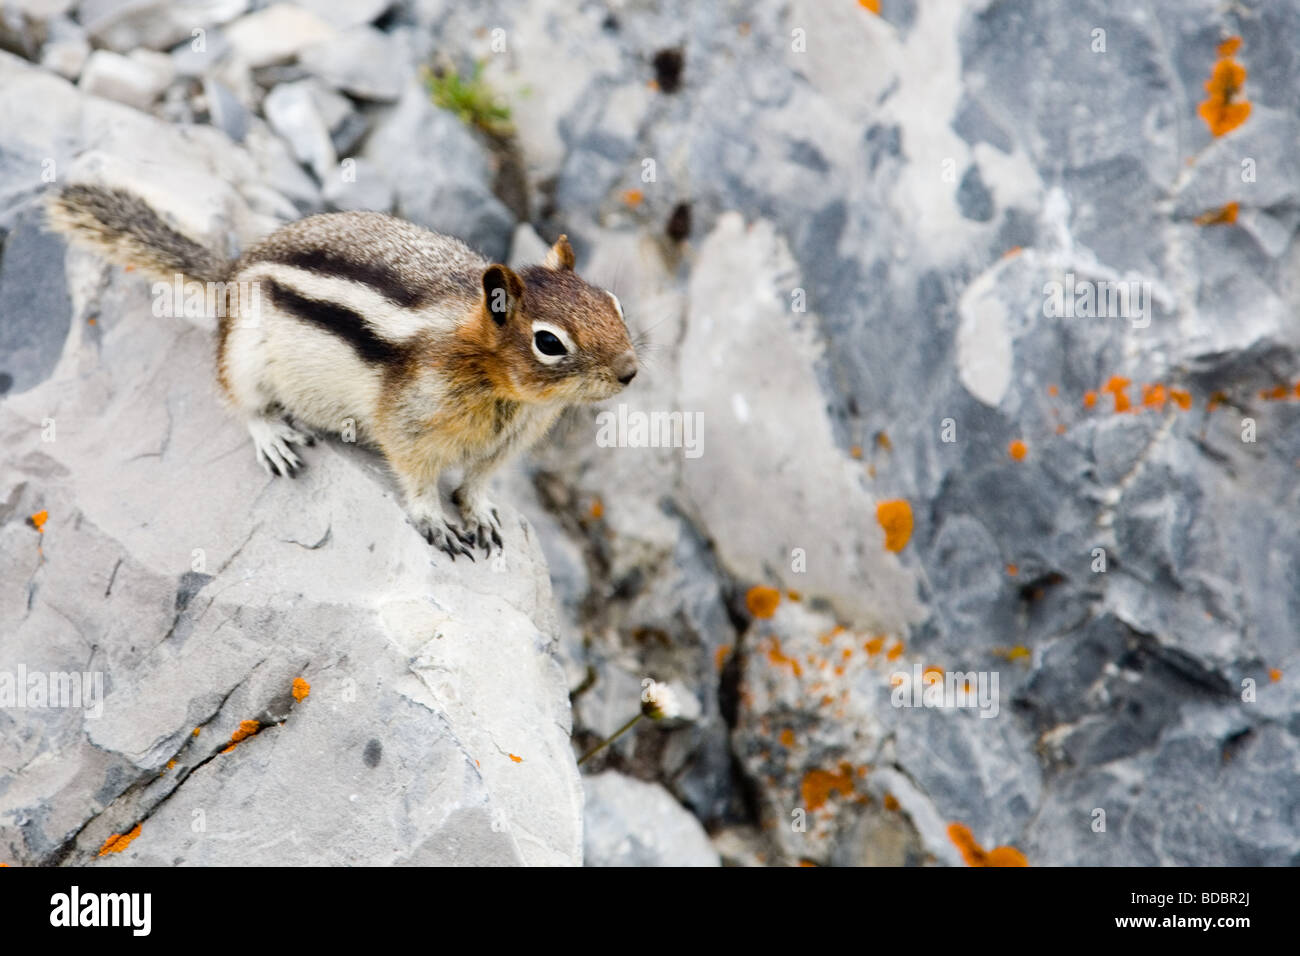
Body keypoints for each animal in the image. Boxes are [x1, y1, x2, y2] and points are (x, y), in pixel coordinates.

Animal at [48, 185, 637, 556]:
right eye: (548, 342)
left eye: (615, 304)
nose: (630, 371)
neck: (505, 392)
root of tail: (233, 270)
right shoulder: (410, 426)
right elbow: (417, 477)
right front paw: (435, 522)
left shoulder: (504, 447)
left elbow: (477, 482)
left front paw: (482, 513)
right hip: (244, 355)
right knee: (239, 400)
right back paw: (273, 436)